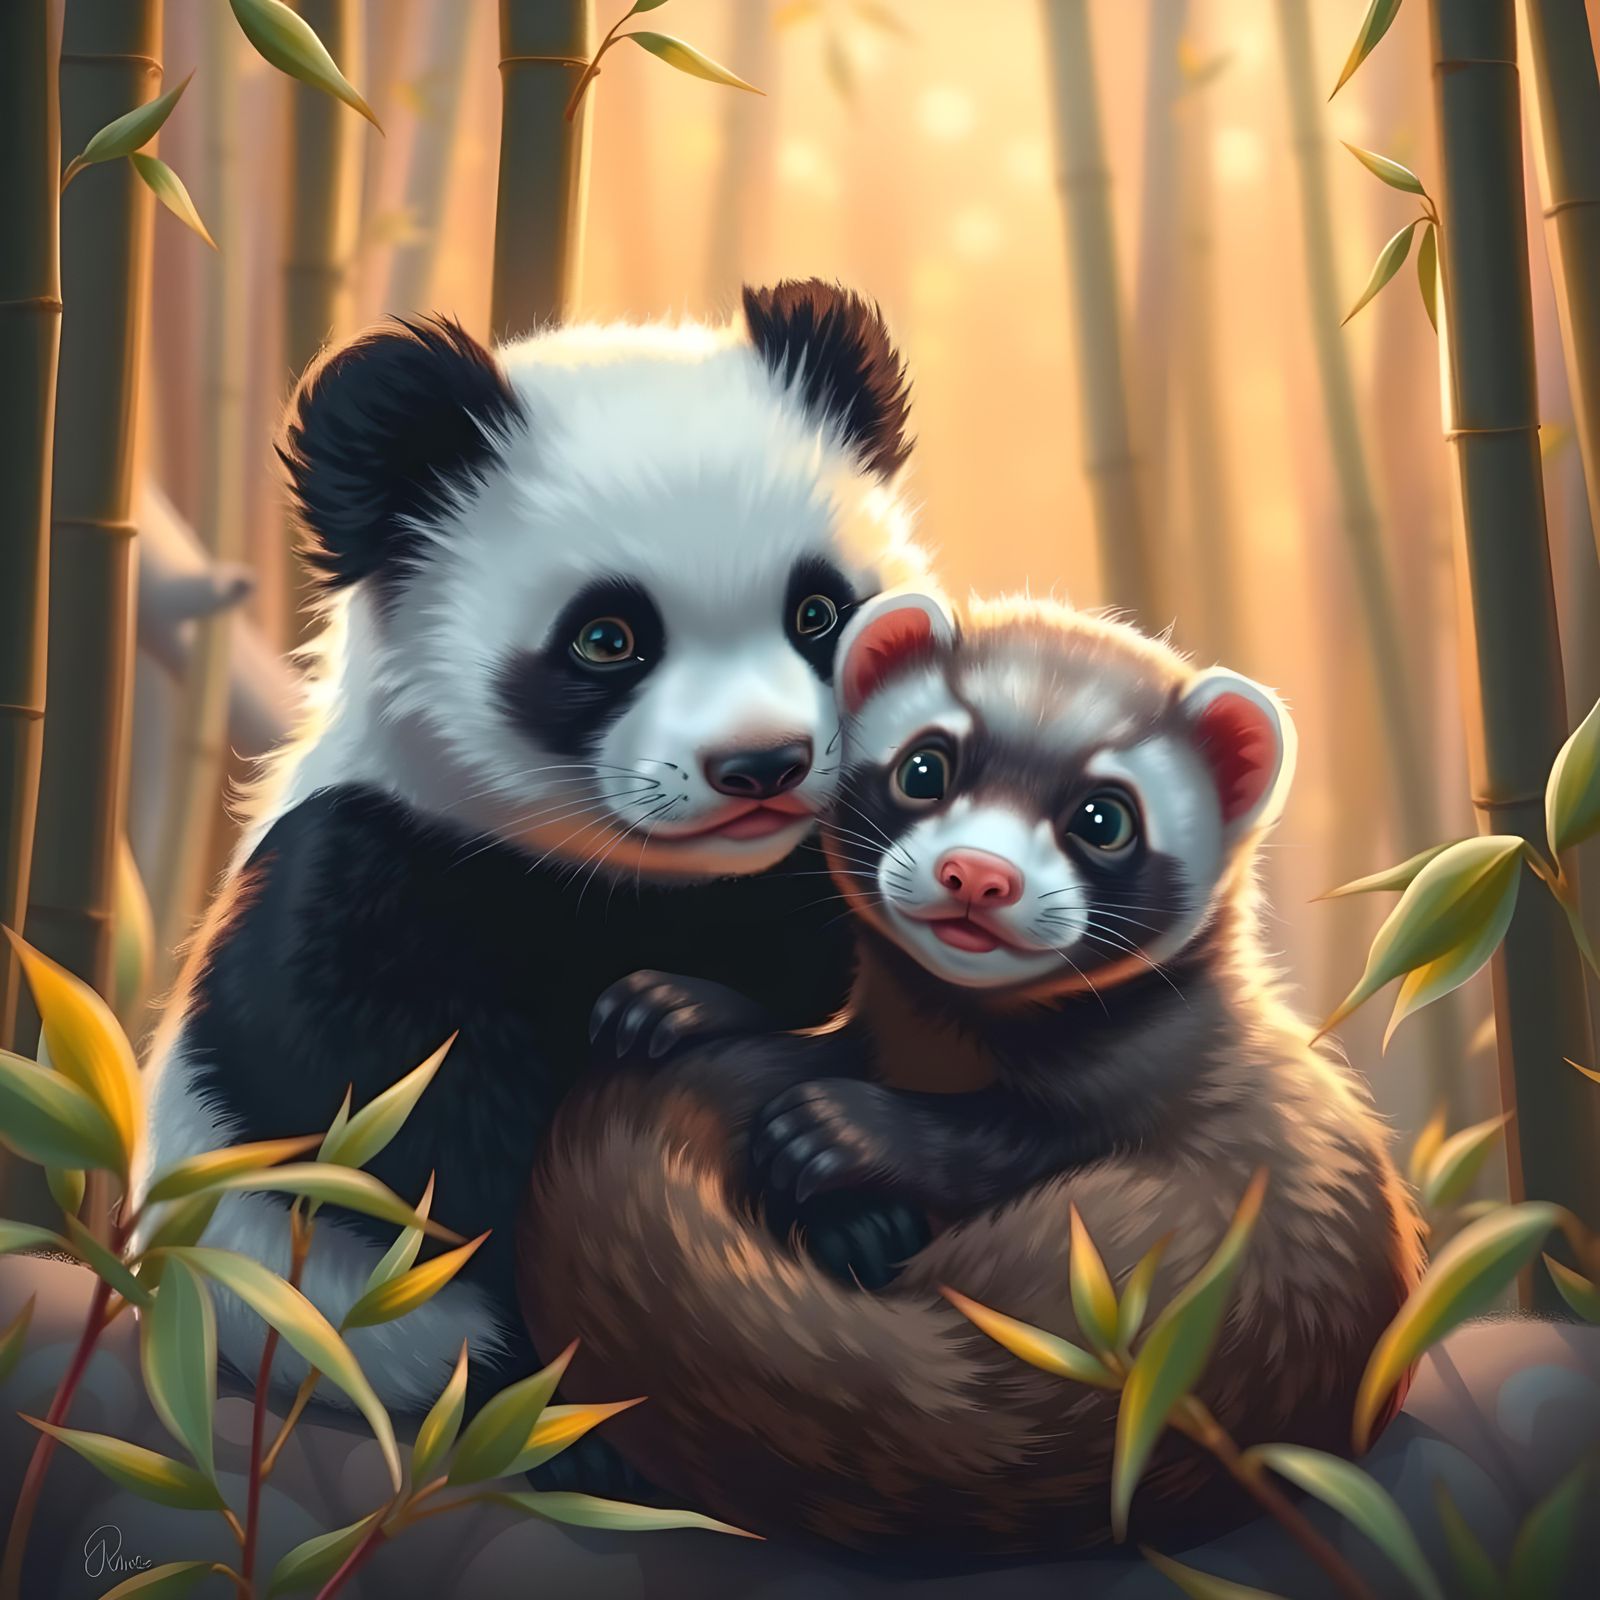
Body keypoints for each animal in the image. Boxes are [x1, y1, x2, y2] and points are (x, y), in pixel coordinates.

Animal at [134, 280, 934, 1413]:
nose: (762, 764)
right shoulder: (370, 867)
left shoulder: (806, 877)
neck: (643, 875)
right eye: (607, 639)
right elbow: (389, 1114)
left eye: (818, 611)